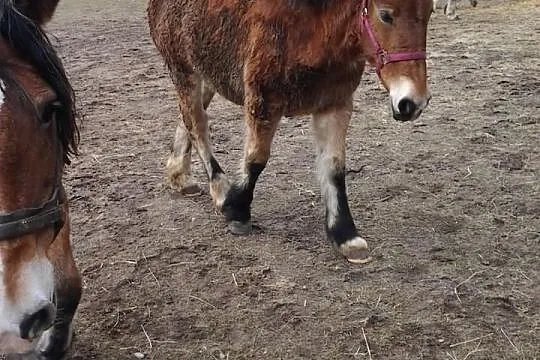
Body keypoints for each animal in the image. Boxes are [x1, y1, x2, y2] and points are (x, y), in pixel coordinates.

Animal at [149, 0, 434, 264]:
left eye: (430, 12)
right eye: (385, 15)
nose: (412, 103)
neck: (314, 29)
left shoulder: (335, 105)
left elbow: (334, 167)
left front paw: (345, 235)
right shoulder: (264, 100)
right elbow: (256, 159)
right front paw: (237, 211)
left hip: (207, 72)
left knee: (187, 118)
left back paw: (179, 176)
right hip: (183, 70)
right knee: (197, 124)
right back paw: (219, 189)